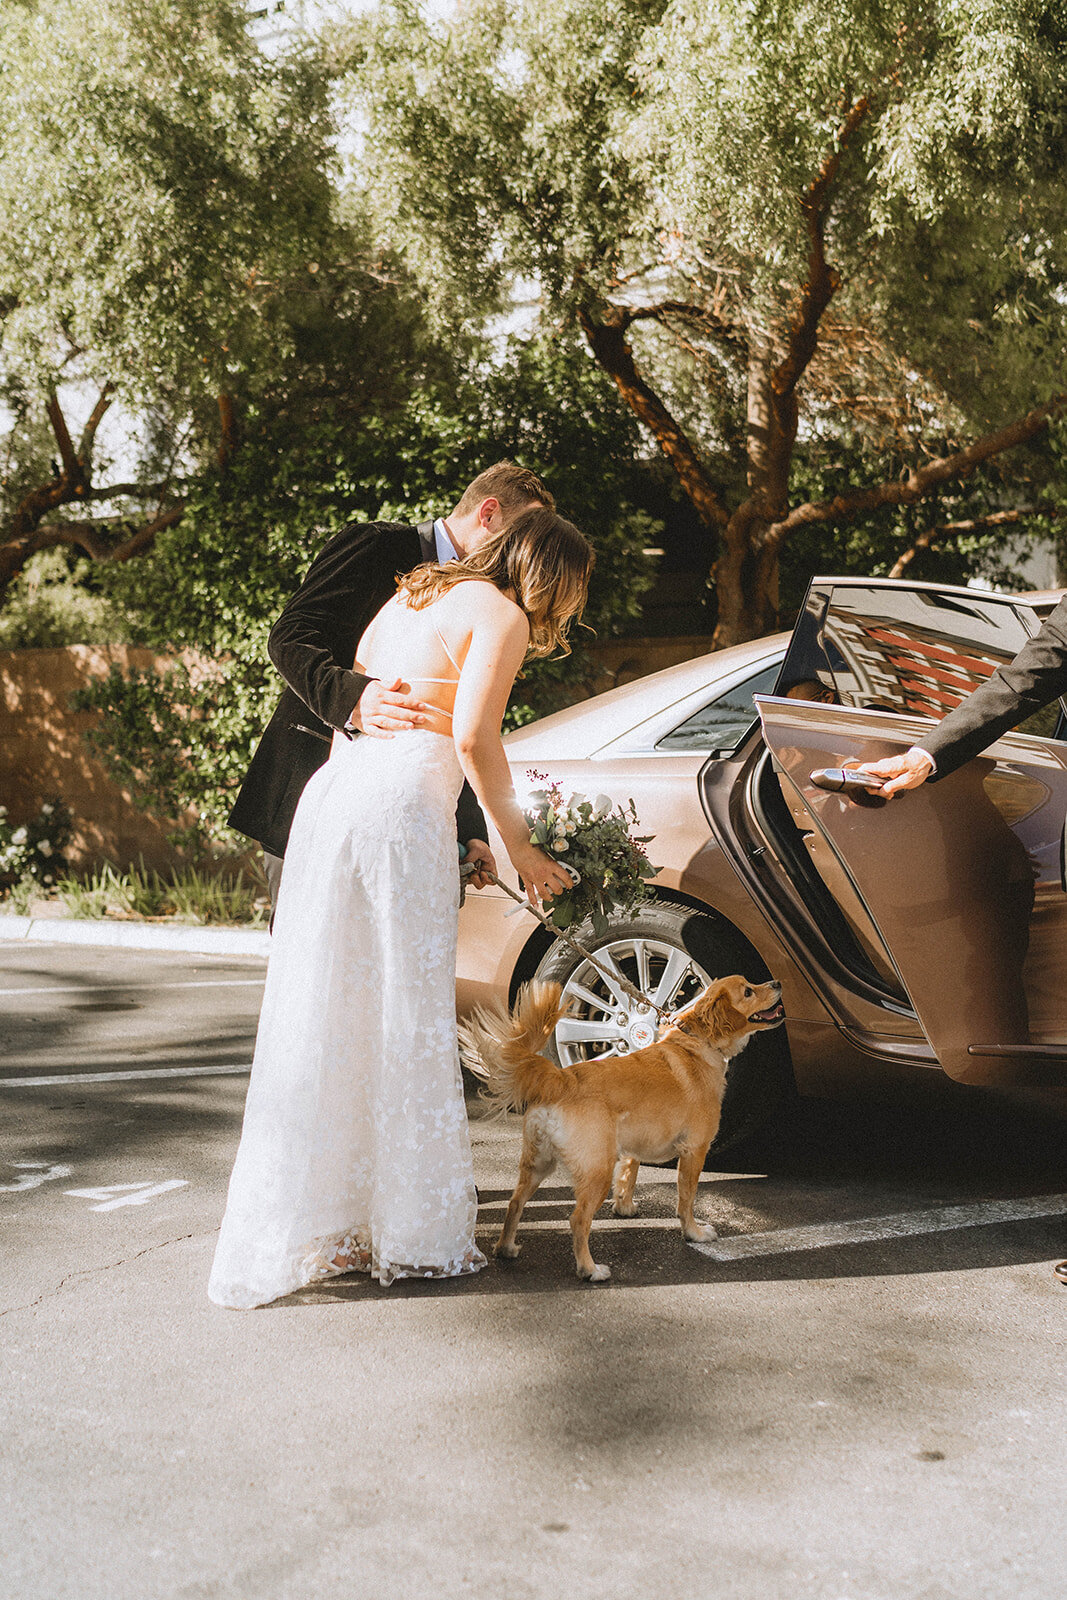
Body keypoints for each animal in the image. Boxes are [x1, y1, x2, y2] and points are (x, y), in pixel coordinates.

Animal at [460, 966, 783, 1280]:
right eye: (748, 991)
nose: (777, 982)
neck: (697, 1040)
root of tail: (561, 1078)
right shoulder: (694, 1150)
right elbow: (687, 1199)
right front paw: (694, 1232)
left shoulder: (634, 1144)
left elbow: (629, 1175)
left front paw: (624, 1207)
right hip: (596, 1170)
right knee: (578, 1219)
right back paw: (589, 1269)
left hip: (538, 1164)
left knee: (515, 1203)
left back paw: (506, 1248)